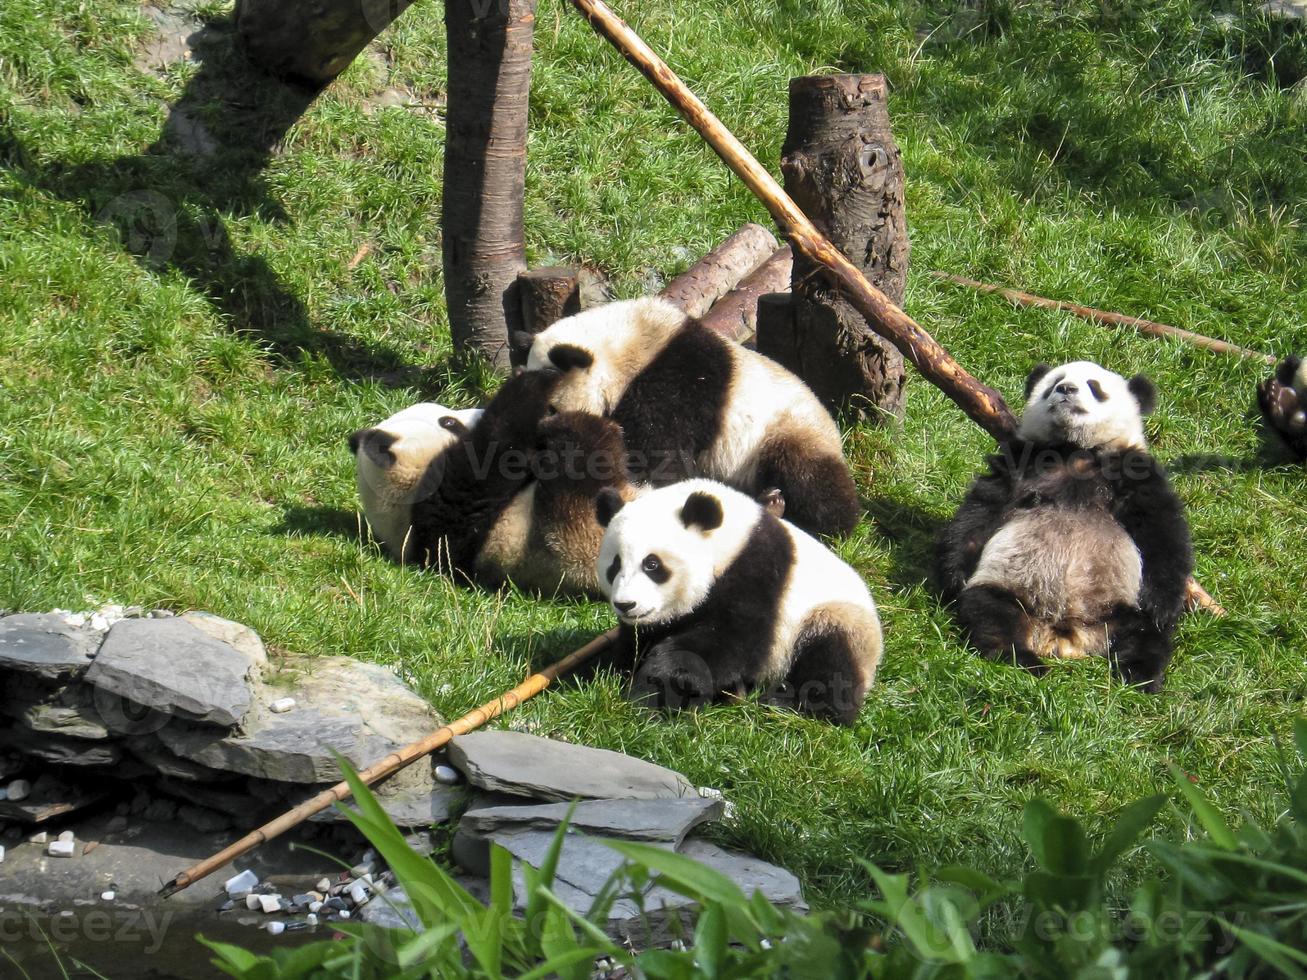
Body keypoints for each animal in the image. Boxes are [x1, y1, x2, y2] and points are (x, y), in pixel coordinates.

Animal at [525, 295, 862, 540]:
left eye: (552, 408)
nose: (538, 443)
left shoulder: (676, 383)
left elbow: (659, 454)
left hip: (788, 431)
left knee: (809, 479)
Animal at [595, 480, 883, 726]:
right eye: (615, 565)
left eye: (652, 564)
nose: (626, 604)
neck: (729, 540)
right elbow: (638, 641)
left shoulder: (758, 573)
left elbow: (728, 642)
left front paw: (652, 690)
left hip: (834, 619)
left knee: (830, 666)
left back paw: (788, 704)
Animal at [935, 360, 1191, 689]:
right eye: (1054, 382)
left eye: (1094, 386)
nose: (1066, 389)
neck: (1075, 449)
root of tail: (1064, 634)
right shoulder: (1020, 462)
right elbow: (981, 510)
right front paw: (954, 575)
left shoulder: (1134, 471)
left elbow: (1161, 534)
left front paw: (1162, 605)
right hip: (1009, 585)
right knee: (989, 613)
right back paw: (1023, 661)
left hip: (1119, 604)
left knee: (1146, 634)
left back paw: (1140, 674)